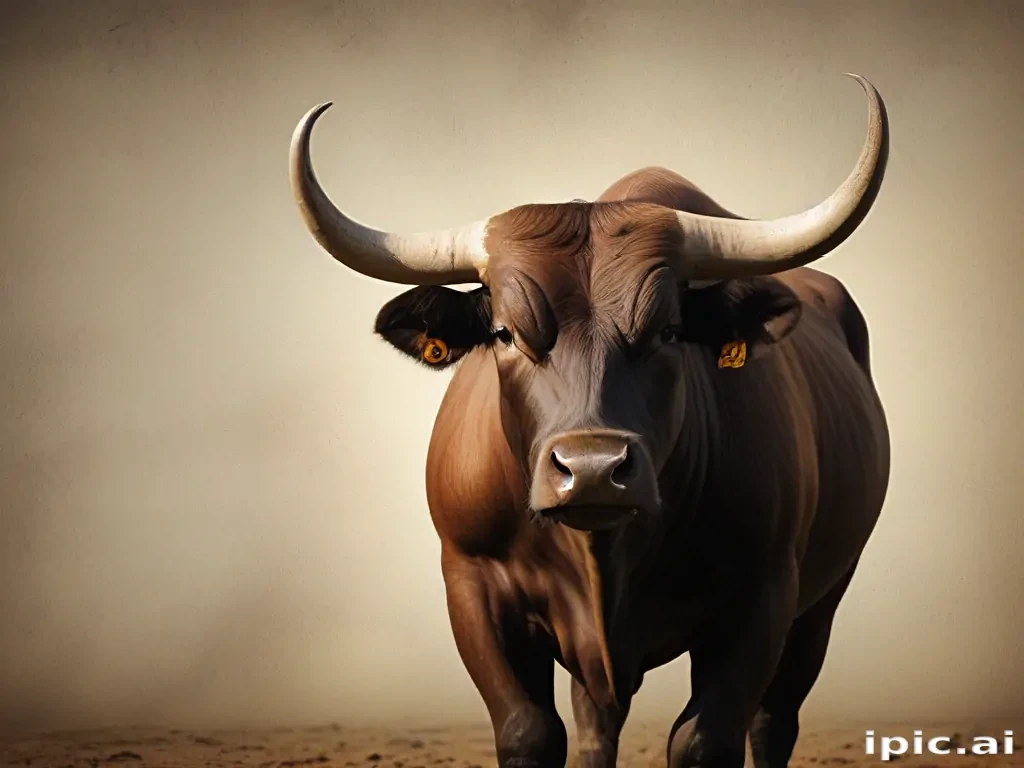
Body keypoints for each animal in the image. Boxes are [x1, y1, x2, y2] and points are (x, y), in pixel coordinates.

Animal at [287, 73, 890, 768]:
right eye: (505, 333)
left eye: (669, 331)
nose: (594, 470)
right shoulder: (471, 585)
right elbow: (530, 730)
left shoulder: (762, 593)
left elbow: (705, 739)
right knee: (598, 719)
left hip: (824, 599)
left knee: (774, 721)